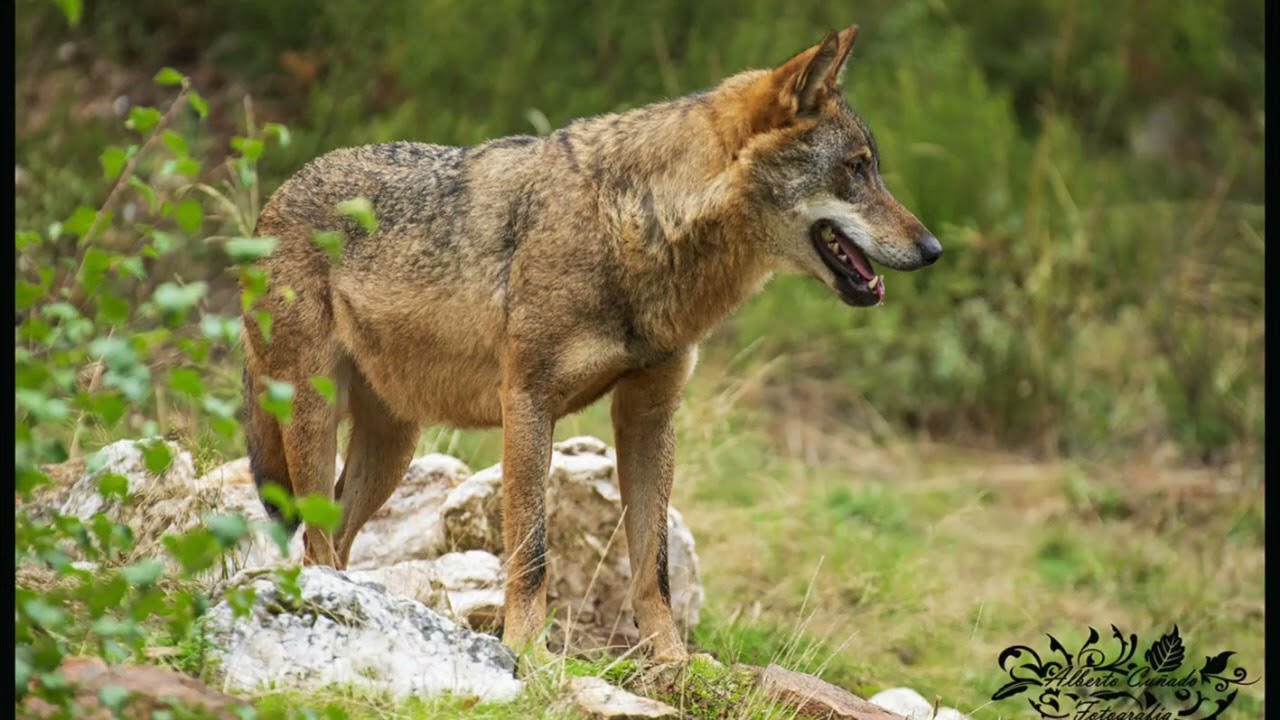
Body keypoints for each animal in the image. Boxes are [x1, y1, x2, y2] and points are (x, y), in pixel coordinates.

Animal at [241, 23, 941, 665]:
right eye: (857, 169)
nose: (933, 248)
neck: (637, 227)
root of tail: (273, 199)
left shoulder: (649, 417)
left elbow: (653, 567)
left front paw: (673, 662)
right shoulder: (527, 402)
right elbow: (531, 553)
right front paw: (528, 653)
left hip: (392, 449)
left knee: (335, 535)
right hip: (315, 421)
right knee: (314, 542)